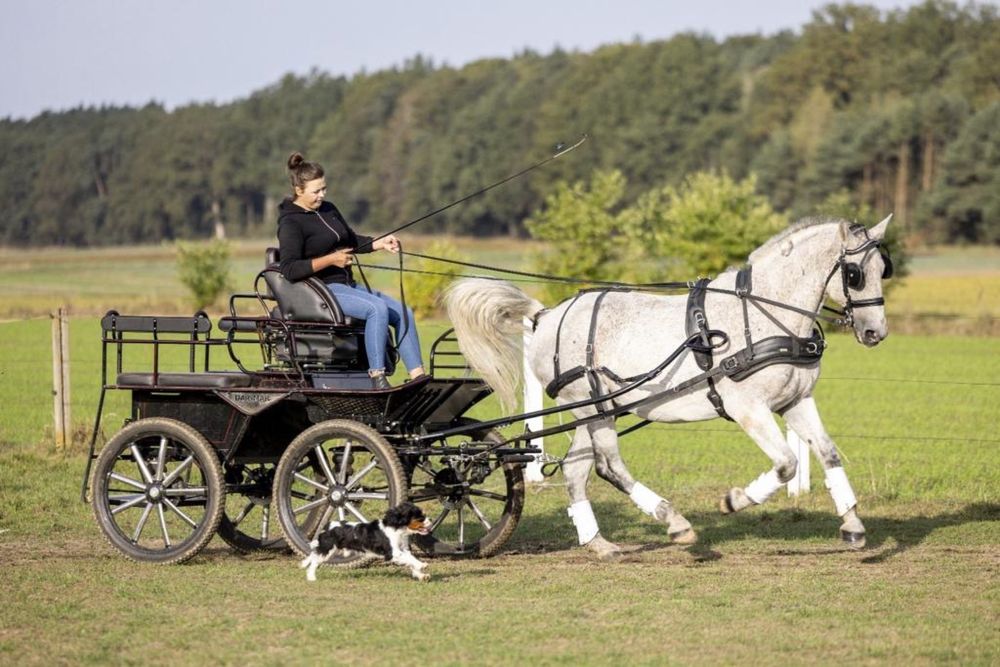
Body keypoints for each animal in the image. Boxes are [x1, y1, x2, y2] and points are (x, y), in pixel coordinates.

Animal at [302, 500, 432, 580]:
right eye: (420, 517)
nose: (430, 519)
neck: (397, 529)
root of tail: (327, 526)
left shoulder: (403, 550)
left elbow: (410, 559)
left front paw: (421, 575)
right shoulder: (393, 552)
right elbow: (410, 559)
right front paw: (422, 565)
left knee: (313, 556)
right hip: (327, 549)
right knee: (314, 562)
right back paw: (311, 578)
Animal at [446, 215, 892, 560]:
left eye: (882, 268)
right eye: (855, 274)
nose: (876, 332)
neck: (764, 315)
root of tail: (546, 315)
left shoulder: (796, 401)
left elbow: (828, 454)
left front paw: (853, 526)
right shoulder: (749, 409)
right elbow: (786, 464)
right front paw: (733, 501)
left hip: (594, 410)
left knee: (576, 471)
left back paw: (599, 544)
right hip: (591, 407)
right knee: (610, 466)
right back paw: (674, 522)